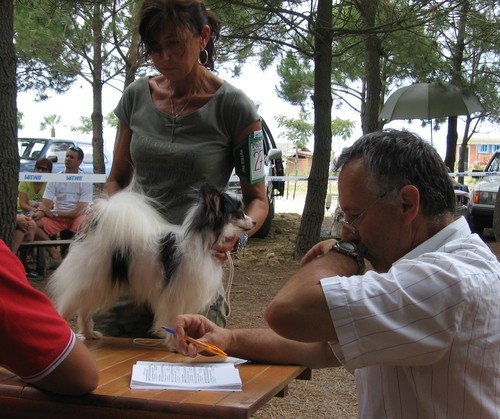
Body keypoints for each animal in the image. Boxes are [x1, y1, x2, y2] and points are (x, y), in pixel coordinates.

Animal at [48, 183, 256, 344]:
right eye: (238, 214)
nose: (254, 222)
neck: (203, 241)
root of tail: (96, 226)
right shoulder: (175, 295)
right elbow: (173, 319)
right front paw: (175, 343)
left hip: (99, 284)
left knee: (84, 310)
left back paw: (89, 333)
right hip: (89, 281)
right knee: (66, 307)